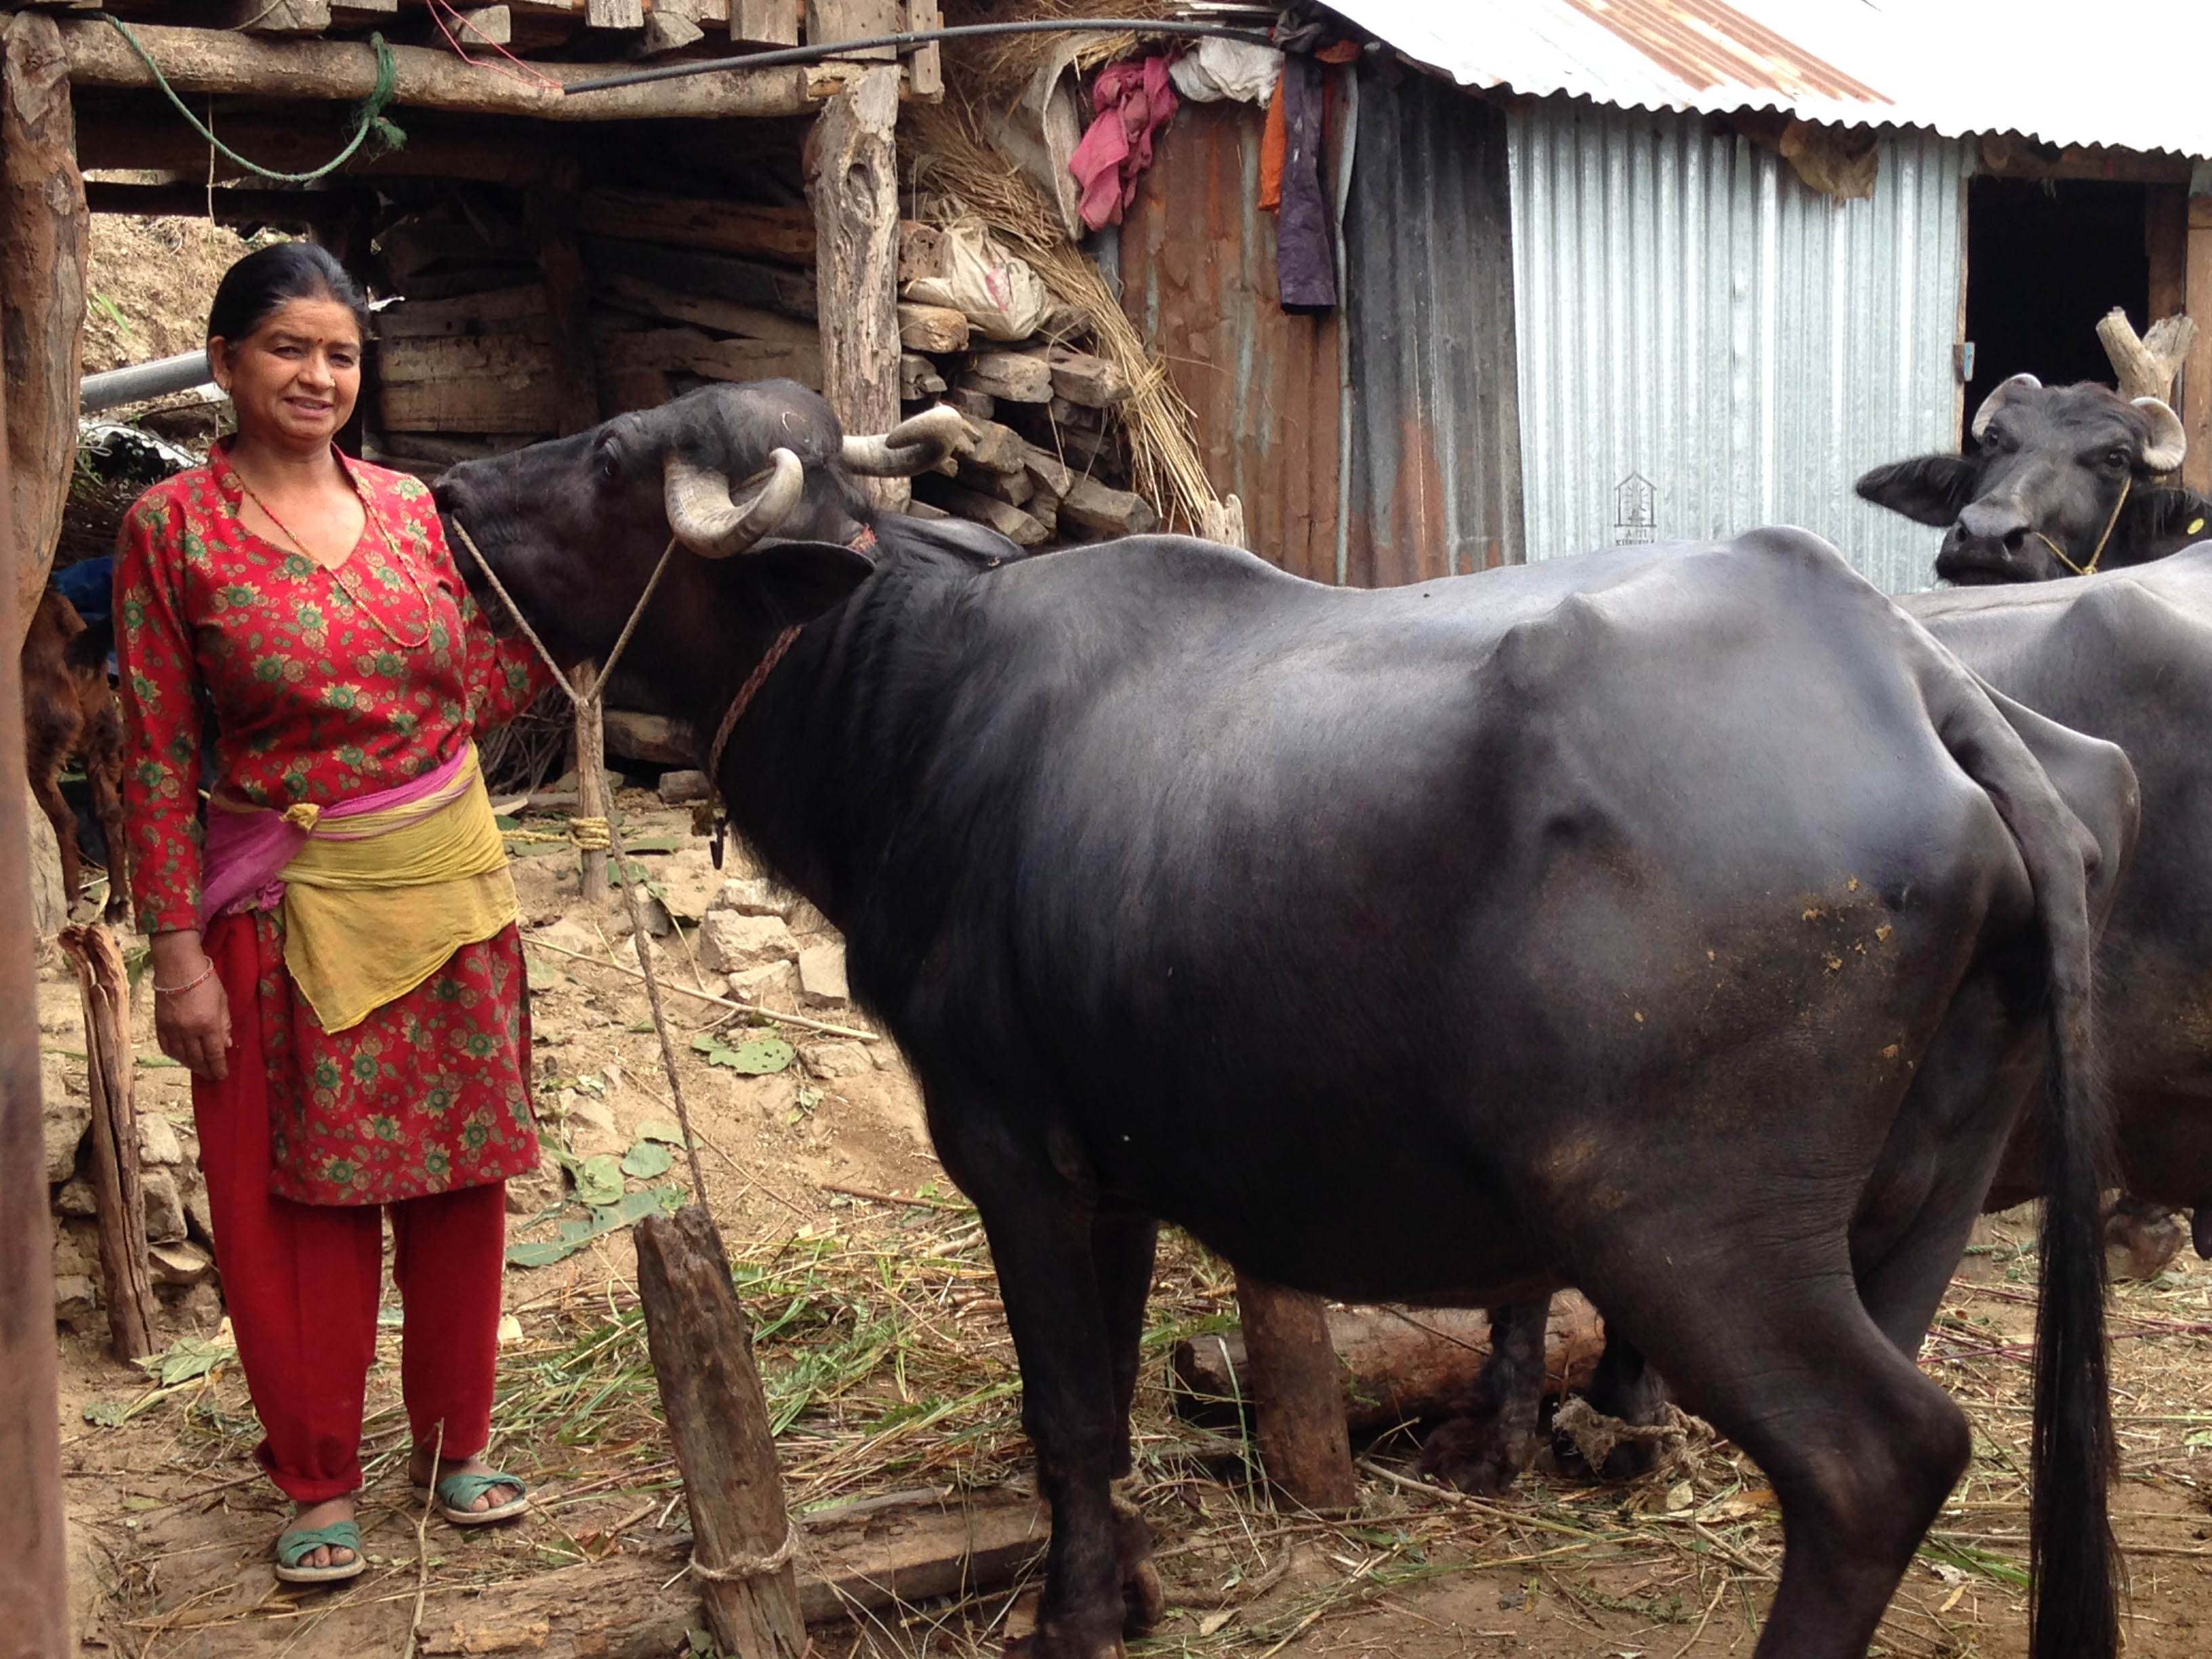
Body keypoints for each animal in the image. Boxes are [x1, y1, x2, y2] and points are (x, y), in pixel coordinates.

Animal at [23, 583, 127, 924]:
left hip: (40, 741)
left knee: (64, 819)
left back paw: (70, 898)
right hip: (99, 723)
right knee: (110, 811)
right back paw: (117, 902)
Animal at [436, 387, 2141, 1659]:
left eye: (611, 453)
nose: (449, 484)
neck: (914, 701)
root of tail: (1917, 682)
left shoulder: (1009, 1150)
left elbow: (1065, 1408)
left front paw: (1070, 1617)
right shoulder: (1108, 1171)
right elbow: (1111, 1402)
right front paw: (1123, 1590)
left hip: (1683, 1219)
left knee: (1875, 1462)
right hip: (1914, 1210)